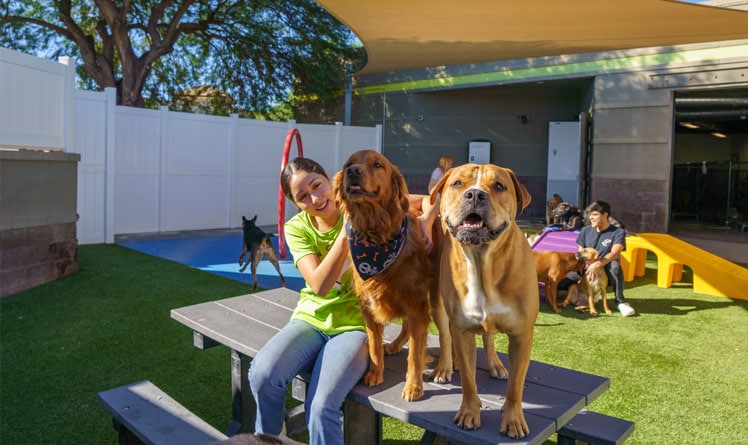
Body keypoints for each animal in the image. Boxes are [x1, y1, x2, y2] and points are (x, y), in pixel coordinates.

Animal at [332, 148, 450, 398]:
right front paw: (375, 374)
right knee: (406, 328)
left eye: (377, 165)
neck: (376, 237)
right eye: (349, 163)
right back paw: (395, 345)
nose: (352, 171)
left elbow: (414, 353)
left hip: (435, 298)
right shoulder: (369, 308)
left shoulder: (416, 306)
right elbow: (374, 347)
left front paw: (413, 386)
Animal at [430, 162, 540, 438]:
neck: (482, 262)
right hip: (439, 307)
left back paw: (496, 365)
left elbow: (515, 386)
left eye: (499, 186)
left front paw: (513, 419)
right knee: (446, 338)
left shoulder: (522, 335)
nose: (475, 195)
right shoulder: (462, 331)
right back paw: (445, 366)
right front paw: (469, 411)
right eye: (458, 183)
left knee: (489, 338)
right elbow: (469, 381)